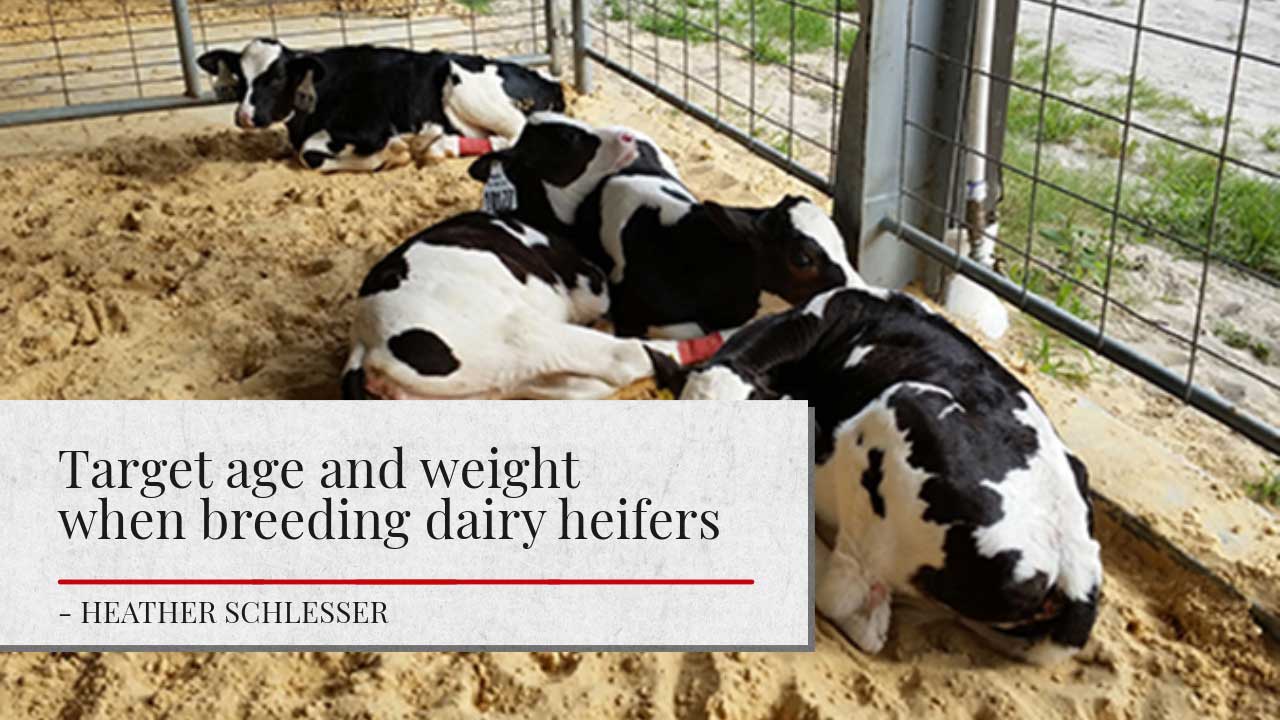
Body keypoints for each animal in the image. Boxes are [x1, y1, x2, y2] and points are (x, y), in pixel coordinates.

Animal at [195, 39, 565, 172]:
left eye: (275, 78)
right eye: (241, 78)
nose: (244, 116)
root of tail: (549, 81)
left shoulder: (370, 126)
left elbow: (311, 154)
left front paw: (393, 153)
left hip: (461, 83)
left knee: (513, 134)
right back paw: (438, 145)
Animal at [337, 210, 670, 399]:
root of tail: (365, 345)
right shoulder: (587, 282)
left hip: (500, 380)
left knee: (572, 387)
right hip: (520, 333)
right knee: (622, 358)